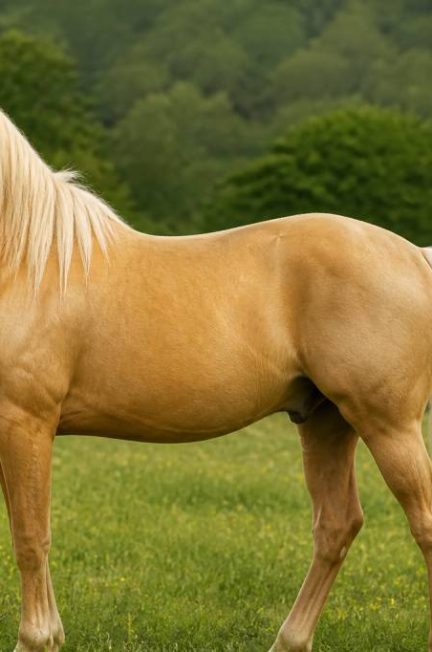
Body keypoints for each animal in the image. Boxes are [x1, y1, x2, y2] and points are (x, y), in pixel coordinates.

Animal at [1, 107, 432, 652]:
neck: (24, 261)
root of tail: (417, 255)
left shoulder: (25, 422)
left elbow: (30, 537)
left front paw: (36, 639)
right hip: (327, 422)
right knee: (336, 526)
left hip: (388, 424)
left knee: (421, 525)